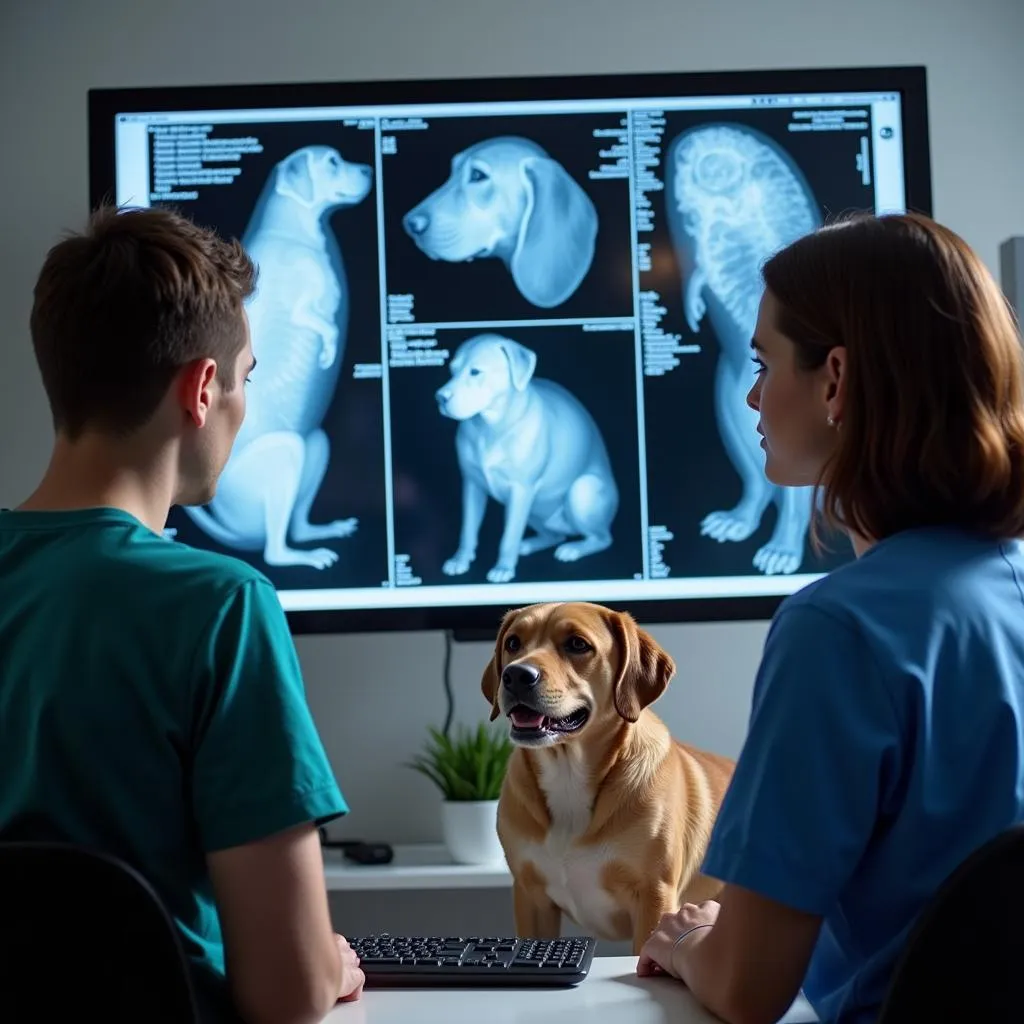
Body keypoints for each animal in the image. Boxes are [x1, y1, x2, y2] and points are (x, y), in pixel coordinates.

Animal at [481, 598, 737, 950]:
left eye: (577, 644)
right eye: (513, 643)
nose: (516, 674)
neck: (568, 775)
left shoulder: (653, 897)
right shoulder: (530, 896)